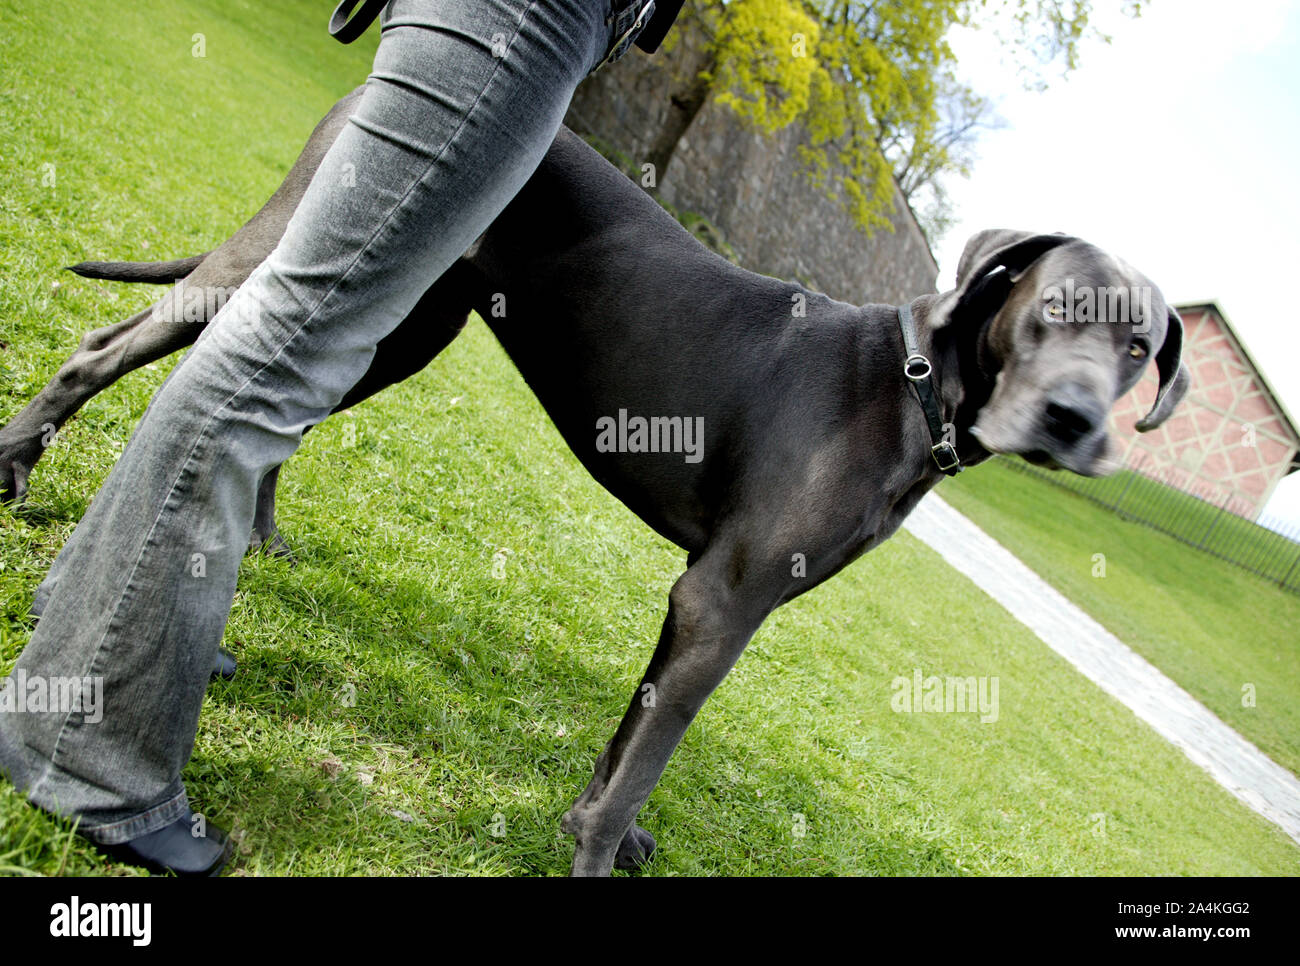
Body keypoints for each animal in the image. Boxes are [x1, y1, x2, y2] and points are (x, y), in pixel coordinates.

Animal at [0, 87, 1190, 878]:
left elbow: (628, 736)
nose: (1076, 419)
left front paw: (584, 831)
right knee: (110, 349)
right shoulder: (725, 599)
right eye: (1054, 308)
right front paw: (595, 850)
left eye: (1137, 347)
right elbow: (645, 762)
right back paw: (18, 471)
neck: (915, 389)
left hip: (395, 327)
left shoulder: (700, 603)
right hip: (295, 269)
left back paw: (253, 548)